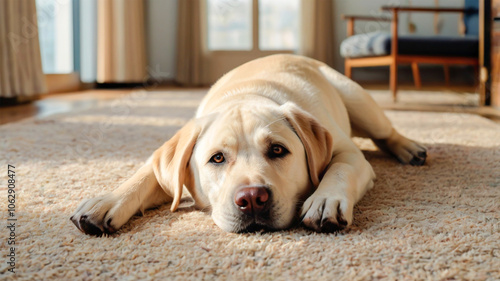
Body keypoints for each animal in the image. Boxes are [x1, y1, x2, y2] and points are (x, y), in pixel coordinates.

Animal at [70, 54, 426, 234]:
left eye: (278, 150)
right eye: (216, 158)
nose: (252, 199)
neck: (247, 94)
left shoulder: (348, 154)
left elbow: (338, 168)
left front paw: (325, 200)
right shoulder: (167, 169)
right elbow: (145, 176)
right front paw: (106, 201)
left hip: (356, 99)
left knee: (384, 132)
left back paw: (409, 148)